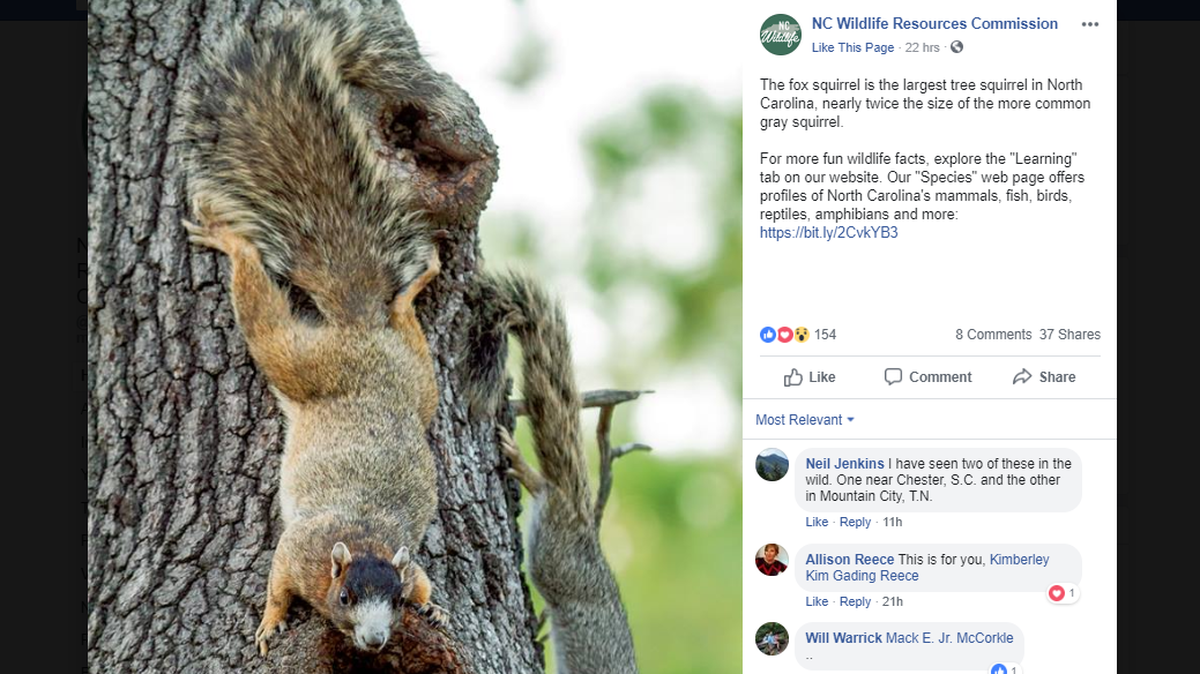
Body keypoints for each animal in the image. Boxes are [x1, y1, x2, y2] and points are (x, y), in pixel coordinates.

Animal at [178, 10, 450, 656]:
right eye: (346, 596)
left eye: (394, 601)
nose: (375, 642)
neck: (364, 536)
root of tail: (356, 328)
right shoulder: (296, 551)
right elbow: (277, 581)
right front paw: (270, 621)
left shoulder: (409, 567)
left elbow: (426, 581)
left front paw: (435, 609)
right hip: (299, 360)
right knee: (263, 314)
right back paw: (229, 238)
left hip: (416, 380)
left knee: (403, 321)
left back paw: (416, 282)